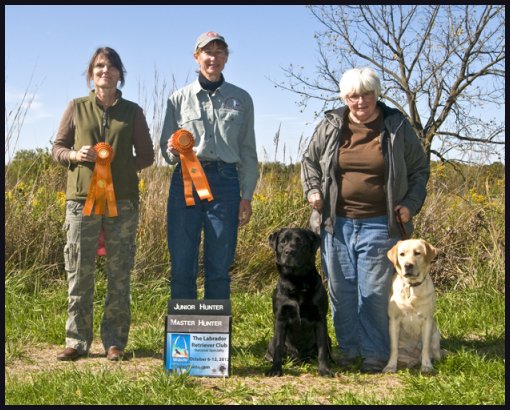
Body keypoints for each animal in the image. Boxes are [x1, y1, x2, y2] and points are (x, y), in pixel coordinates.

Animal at [264, 227, 332, 378]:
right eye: (283, 242)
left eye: (300, 242)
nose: (289, 251)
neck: (297, 282)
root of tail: (299, 359)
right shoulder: (280, 318)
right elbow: (278, 348)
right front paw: (275, 369)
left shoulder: (320, 318)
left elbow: (322, 350)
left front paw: (324, 370)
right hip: (271, 340)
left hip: (329, 339)